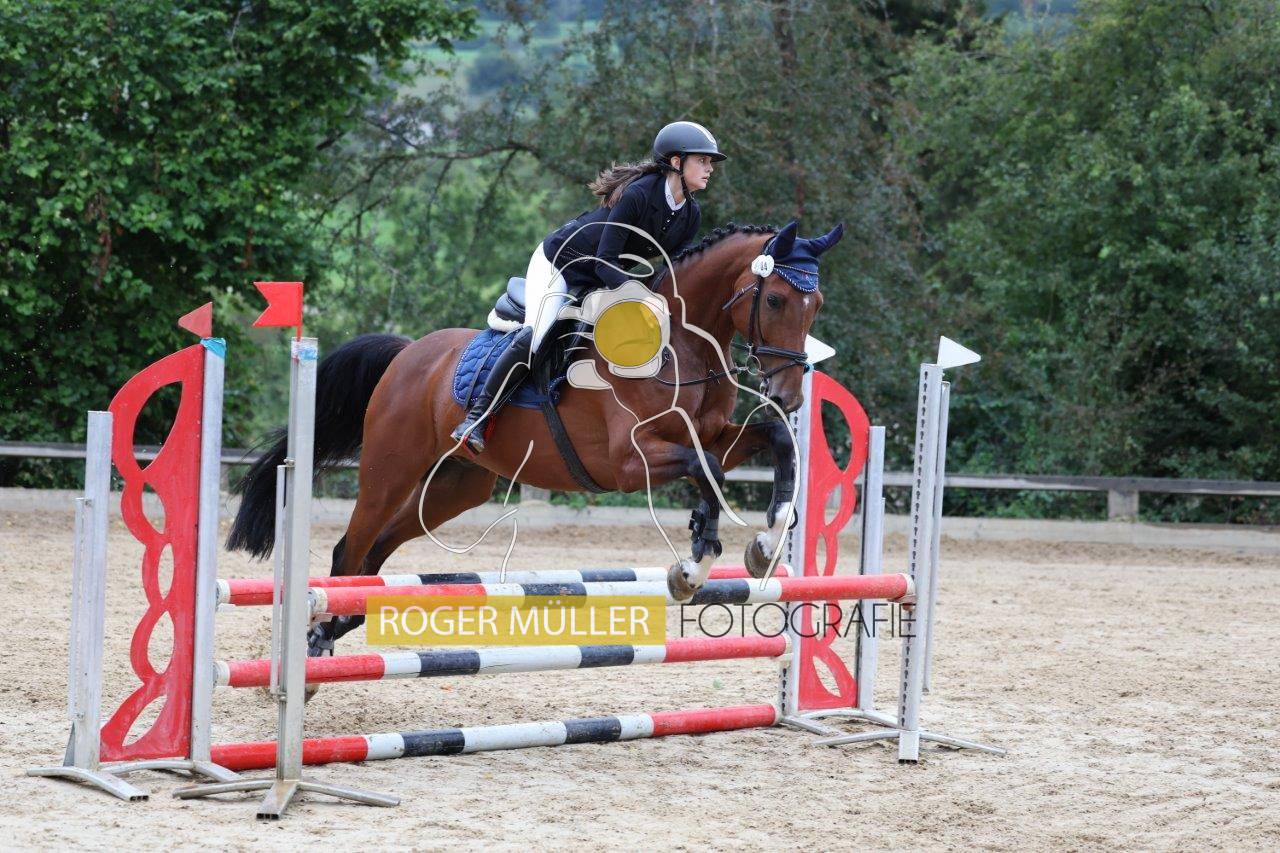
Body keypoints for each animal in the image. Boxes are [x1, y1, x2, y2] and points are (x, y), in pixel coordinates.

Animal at [227, 219, 843, 657]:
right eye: (776, 300)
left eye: (815, 304)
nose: (789, 393)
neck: (676, 346)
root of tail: (407, 354)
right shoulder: (629, 461)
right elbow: (708, 472)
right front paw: (692, 569)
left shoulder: (713, 436)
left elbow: (773, 441)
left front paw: (763, 544)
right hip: (390, 470)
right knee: (350, 546)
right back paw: (318, 634)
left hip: (455, 486)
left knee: (376, 549)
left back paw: (343, 620)